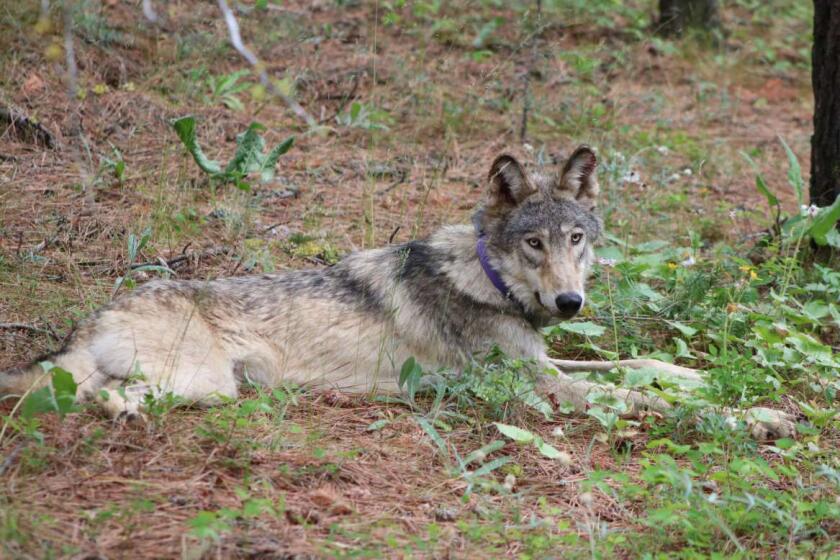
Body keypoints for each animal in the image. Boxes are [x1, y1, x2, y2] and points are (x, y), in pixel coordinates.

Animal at [0, 147, 796, 440]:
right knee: (95, 397)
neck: (487, 279)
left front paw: (698, 377)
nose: (570, 304)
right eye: (533, 244)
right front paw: (756, 415)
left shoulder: (542, 364)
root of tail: (97, 313)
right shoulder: (537, 388)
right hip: (205, 384)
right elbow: (636, 398)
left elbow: (639, 367)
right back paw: (120, 415)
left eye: (576, 238)